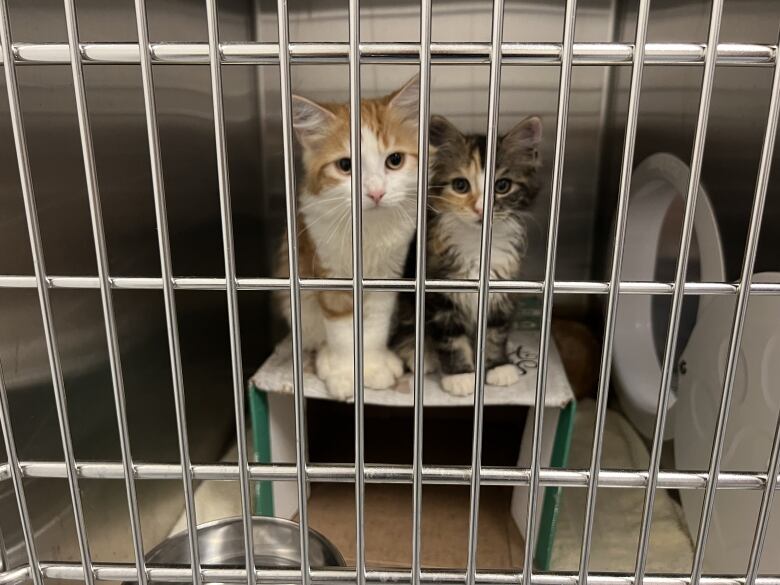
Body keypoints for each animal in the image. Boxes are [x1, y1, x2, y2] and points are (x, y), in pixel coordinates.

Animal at [274, 75, 420, 400]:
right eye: (345, 166)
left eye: (394, 160)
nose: (376, 192)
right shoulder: (329, 272)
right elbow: (342, 331)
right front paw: (345, 372)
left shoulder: (387, 275)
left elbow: (376, 323)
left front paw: (373, 365)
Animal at [394, 113, 540, 396]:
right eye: (461, 185)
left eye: (502, 186)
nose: (480, 208)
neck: (475, 246)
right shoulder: (439, 294)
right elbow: (451, 338)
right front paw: (460, 375)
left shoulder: (502, 286)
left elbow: (496, 332)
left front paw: (498, 366)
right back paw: (422, 355)